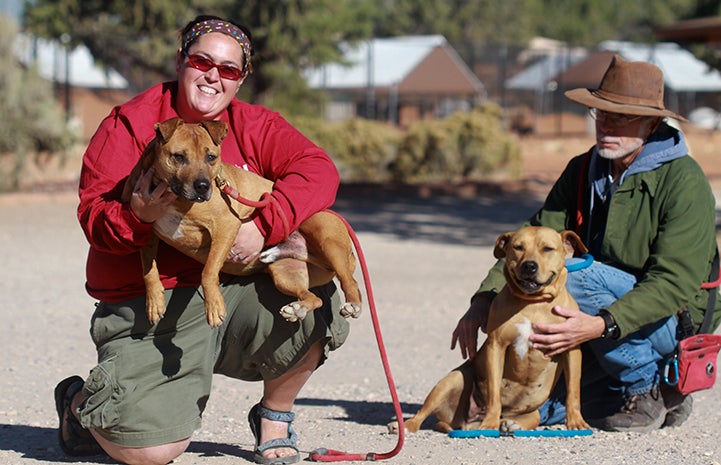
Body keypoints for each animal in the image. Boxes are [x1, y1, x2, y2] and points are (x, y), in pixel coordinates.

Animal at [123, 116, 362, 326]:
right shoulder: (146, 231)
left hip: (327, 241)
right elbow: (149, 271)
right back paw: (297, 309)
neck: (174, 196)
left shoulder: (225, 226)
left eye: (211, 157)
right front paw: (154, 302)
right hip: (285, 274)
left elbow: (208, 271)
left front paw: (214, 306)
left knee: (351, 282)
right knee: (314, 298)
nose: (203, 186)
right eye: (179, 156)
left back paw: (352, 304)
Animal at [396, 227, 588, 434]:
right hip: (452, 380)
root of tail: (467, 423)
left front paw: (576, 422)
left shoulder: (571, 349)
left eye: (547, 248)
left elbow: (573, 392)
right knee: (423, 411)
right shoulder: (496, 347)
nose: (529, 266)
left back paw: (512, 424)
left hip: (535, 413)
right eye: (518, 247)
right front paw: (490, 423)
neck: (534, 304)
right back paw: (405, 426)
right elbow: (494, 393)